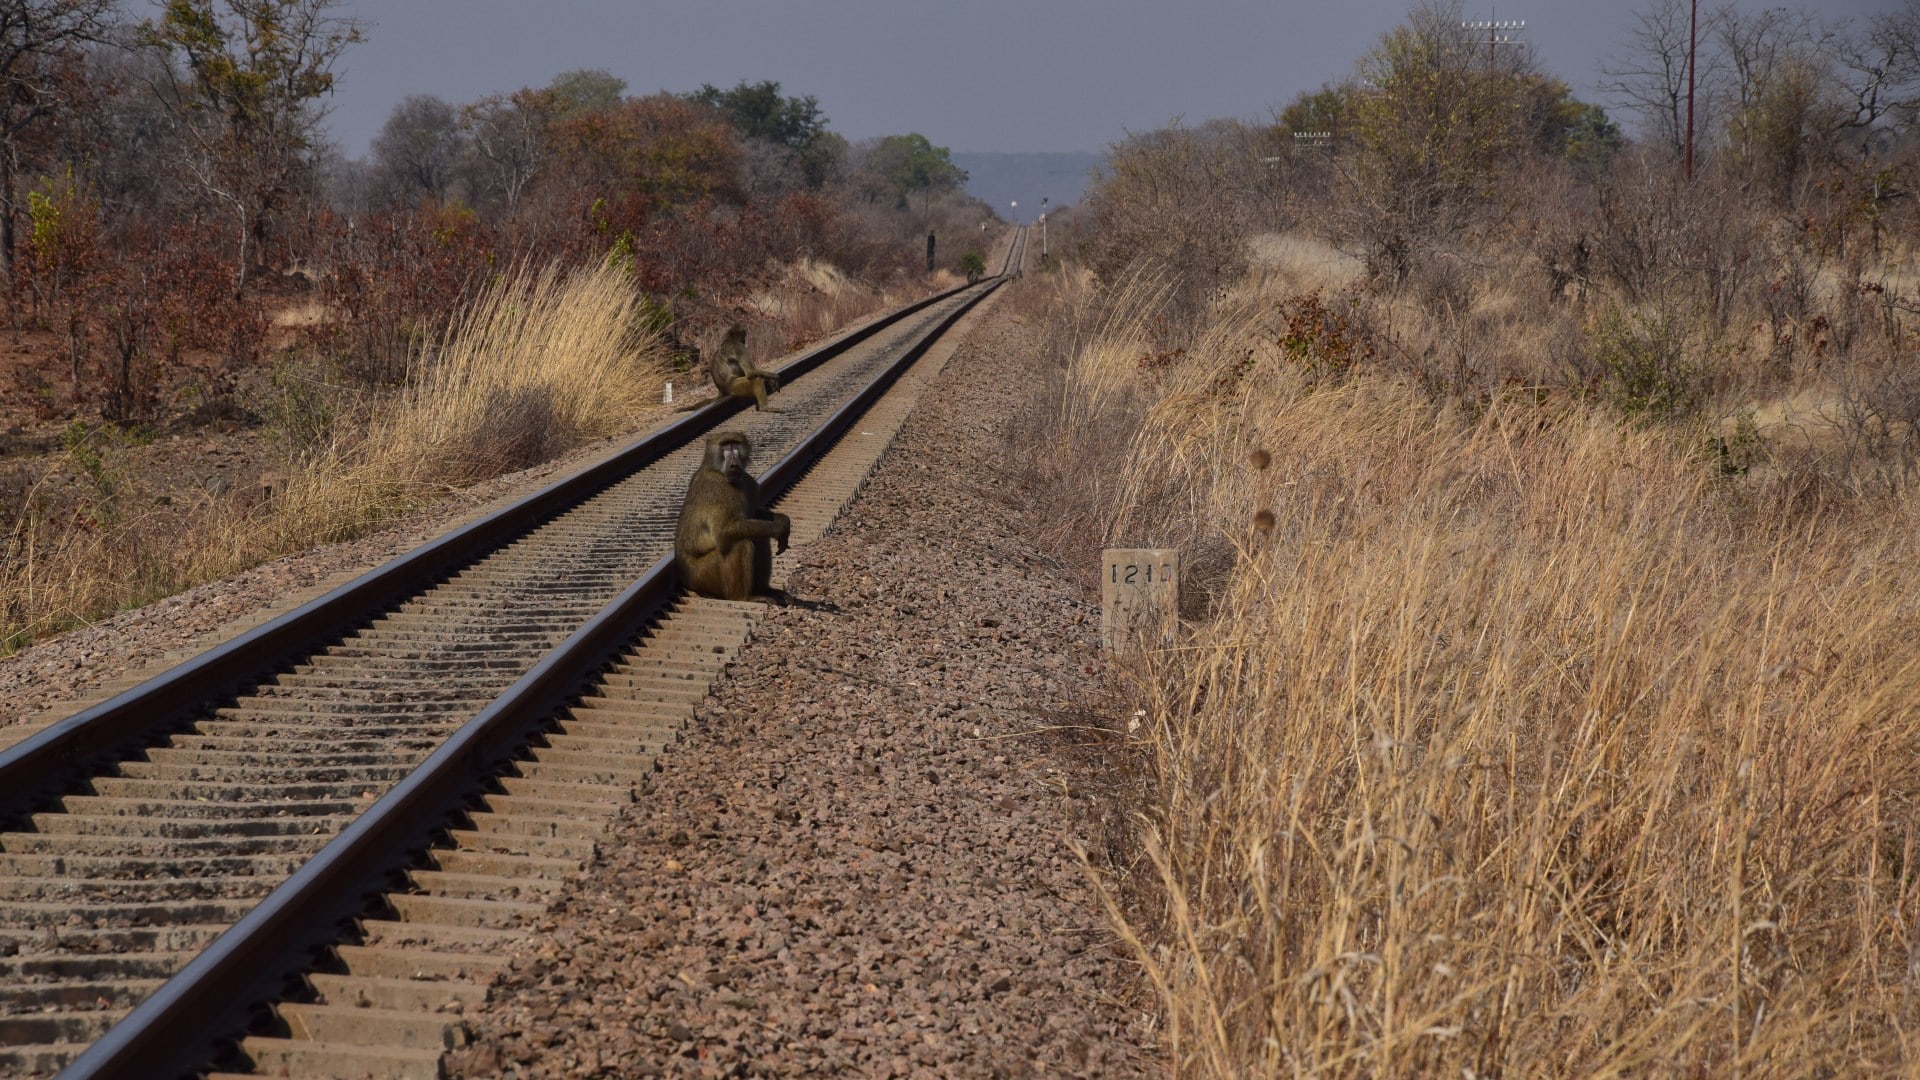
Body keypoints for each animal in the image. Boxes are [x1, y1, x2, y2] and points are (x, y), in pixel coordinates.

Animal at [674, 431, 792, 604]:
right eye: (725, 446)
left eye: (735, 444)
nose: (734, 464)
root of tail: (688, 584)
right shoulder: (717, 487)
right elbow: (724, 530)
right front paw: (780, 528)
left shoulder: (748, 482)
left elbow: (754, 515)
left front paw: (783, 520)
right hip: (703, 575)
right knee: (740, 542)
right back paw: (744, 597)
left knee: (759, 537)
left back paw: (764, 590)